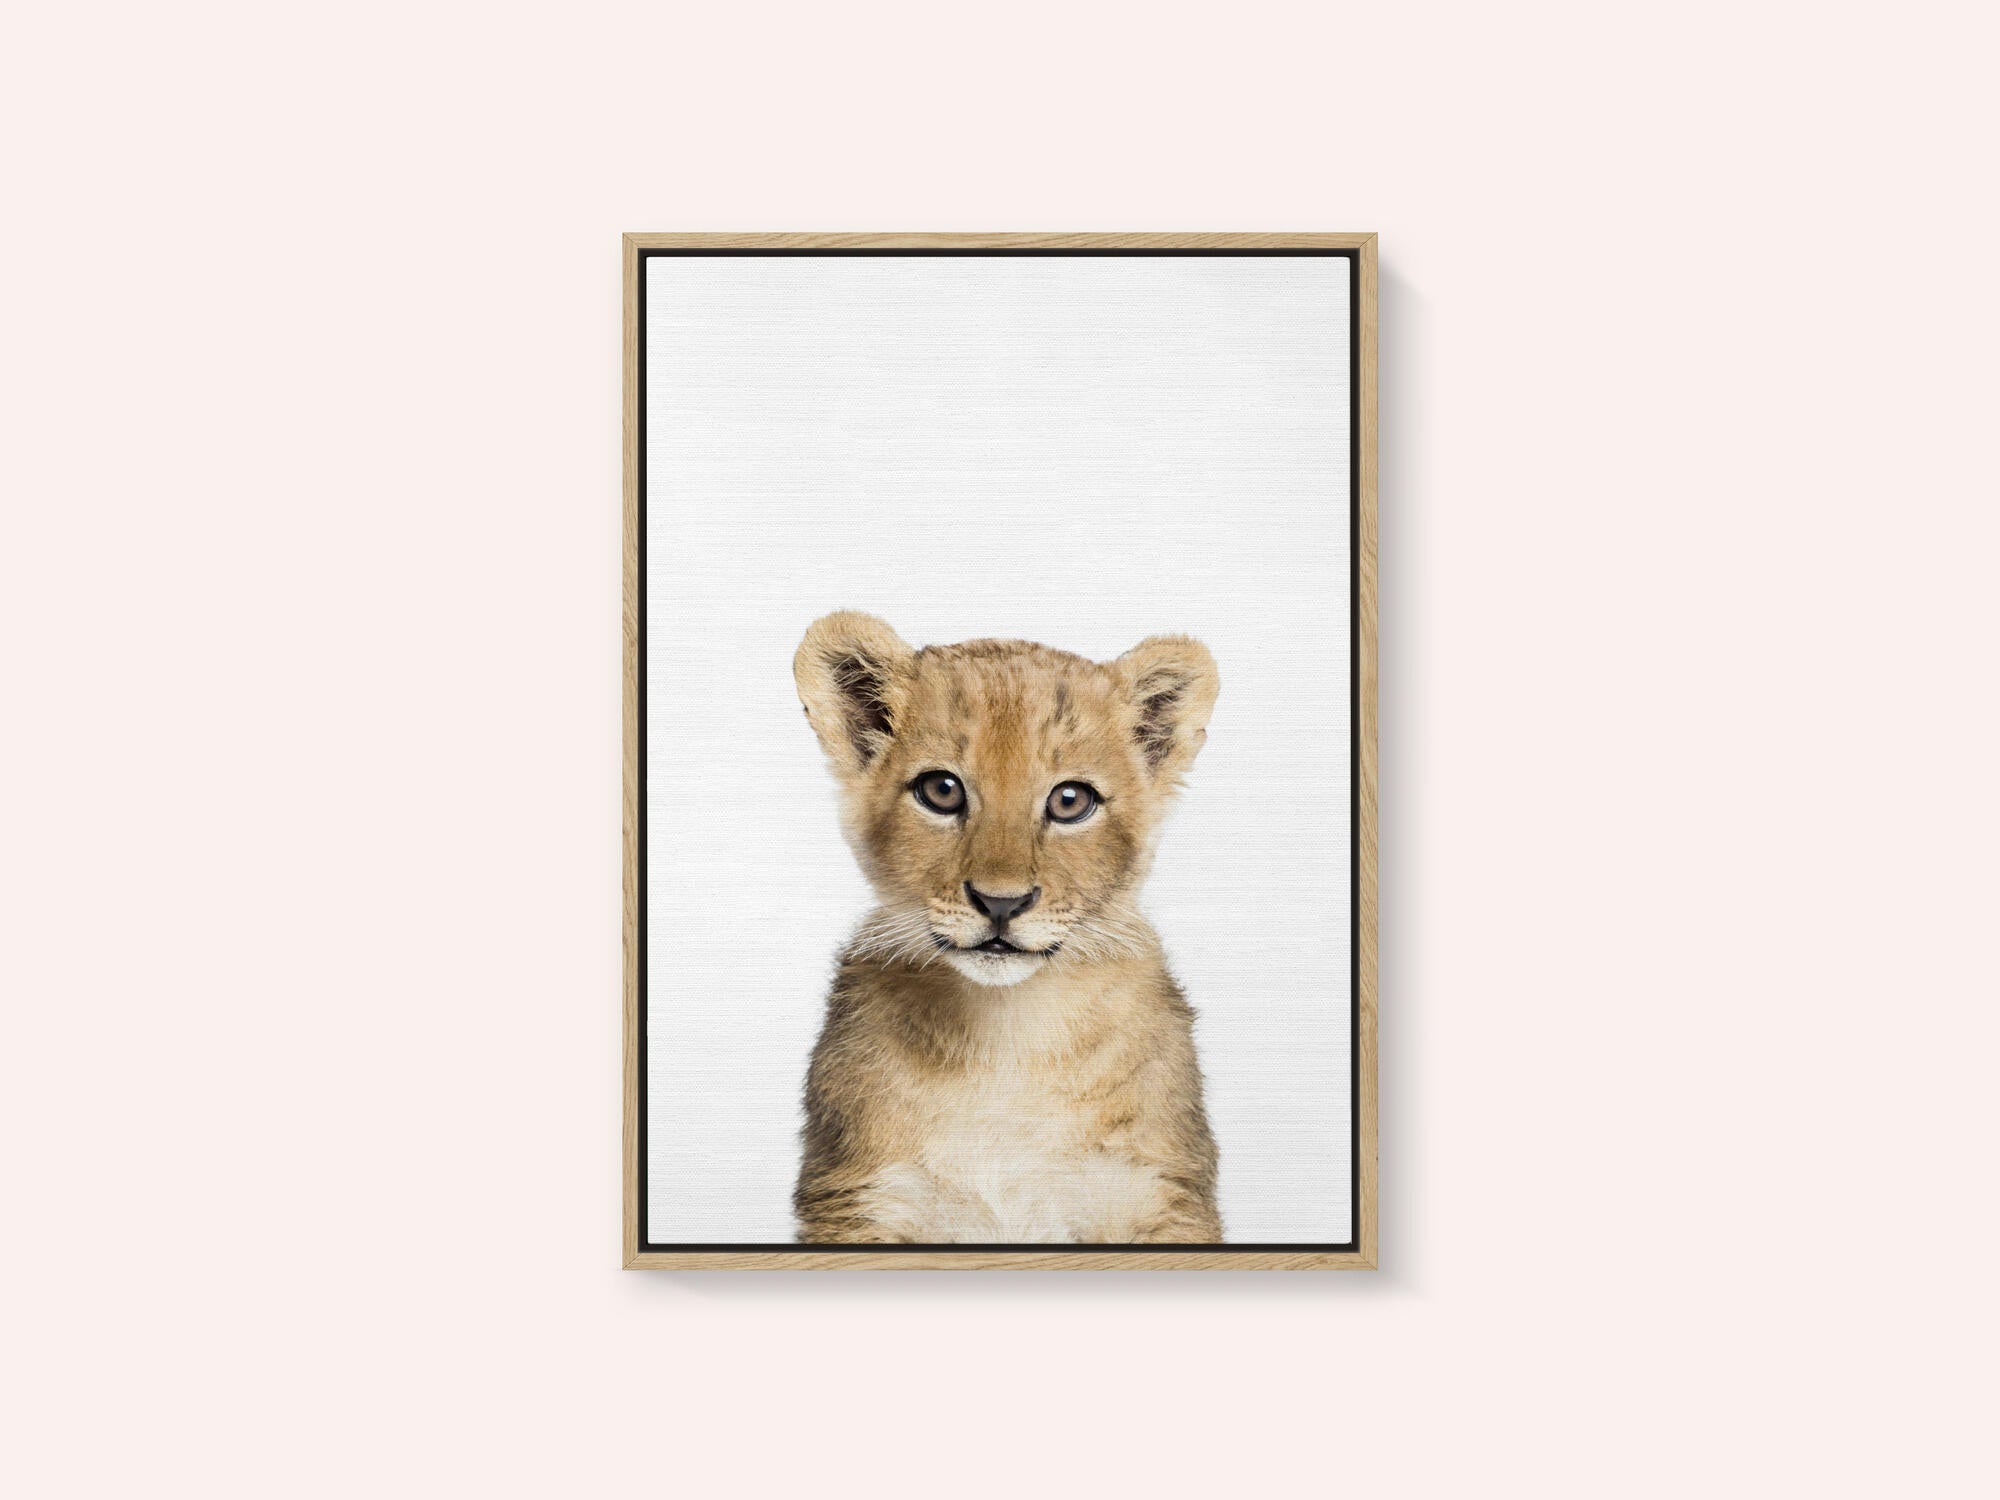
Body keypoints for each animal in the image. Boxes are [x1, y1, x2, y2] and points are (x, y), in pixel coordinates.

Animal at [790, 611, 1223, 1244]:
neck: (1007, 1037)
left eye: (1070, 800)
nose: (1001, 903)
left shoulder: (1160, 1195)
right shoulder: (860, 1199)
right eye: (941, 791)